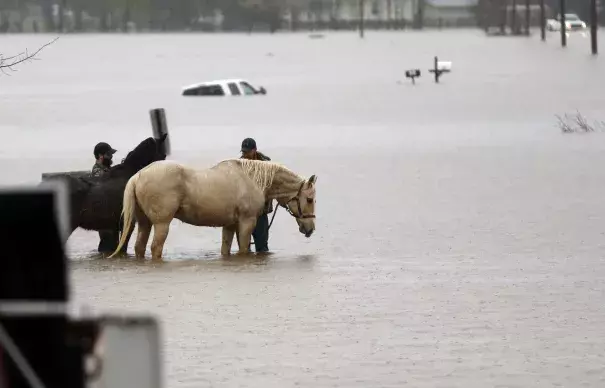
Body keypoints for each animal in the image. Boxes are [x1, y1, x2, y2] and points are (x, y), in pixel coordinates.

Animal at [109, 158, 316, 260]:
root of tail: (138, 175)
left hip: (144, 223)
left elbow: (226, 249)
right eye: (310, 199)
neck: (251, 179)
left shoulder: (230, 225)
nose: (310, 229)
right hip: (161, 224)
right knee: (155, 248)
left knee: (140, 247)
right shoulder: (246, 222)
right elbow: (243, 249)